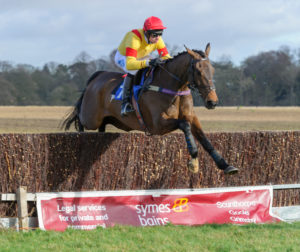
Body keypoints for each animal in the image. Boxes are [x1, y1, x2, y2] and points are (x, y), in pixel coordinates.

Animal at [63, 43, 239, 175]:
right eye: (198, 71)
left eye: (212, 70)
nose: (212, 102)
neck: (174, 87)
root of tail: (97, 76)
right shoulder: (157, 126)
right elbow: (184, 125)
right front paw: (194, 158)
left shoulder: (191, 117)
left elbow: (204, 138)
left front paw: (225, 165)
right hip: (90, 117)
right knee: (80, 118)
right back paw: (79, 134)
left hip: (109, 119)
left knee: (101, 127)